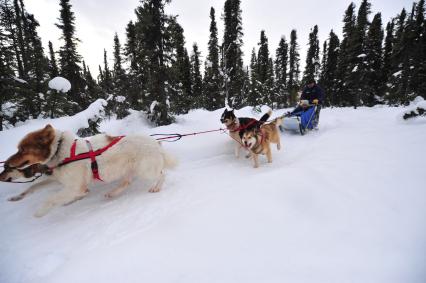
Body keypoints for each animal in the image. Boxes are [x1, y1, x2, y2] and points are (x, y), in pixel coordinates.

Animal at [3, 125, 176, 219]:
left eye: (22, 150)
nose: (6, 163)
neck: (61, 152)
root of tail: (155, 143)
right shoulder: (60, 180)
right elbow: (34, 188)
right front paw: (17, 197)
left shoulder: (75, 187)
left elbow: (51, 199)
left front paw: (40, 212)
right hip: (128, 169)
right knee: (126, 182)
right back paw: (112, 193)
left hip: (145, 169)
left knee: (162, 174)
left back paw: (156, 187)